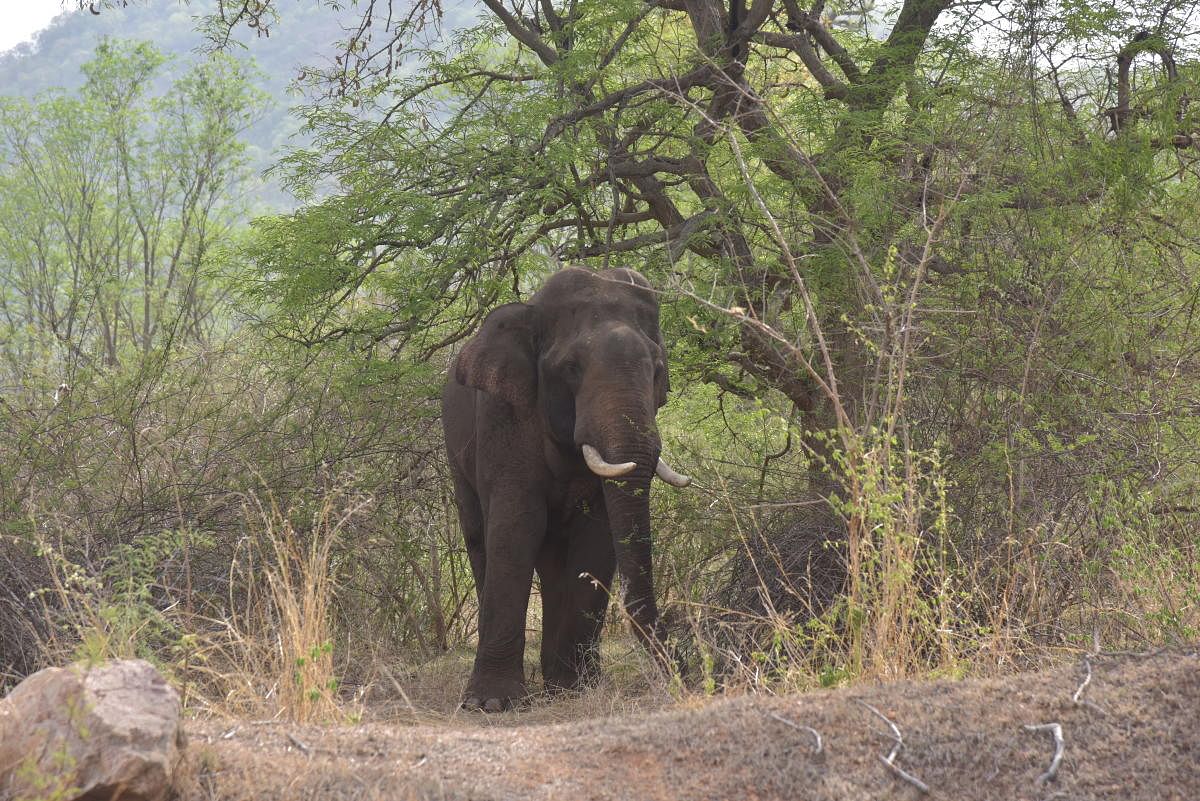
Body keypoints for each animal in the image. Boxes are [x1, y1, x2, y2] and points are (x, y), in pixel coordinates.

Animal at [441, 266, 691, 709]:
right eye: (571, 368)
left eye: (657, 370)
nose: (682, 670)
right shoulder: (504, 418)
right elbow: (515, 527)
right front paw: (491, 704)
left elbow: (596, 539)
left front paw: (574, 688)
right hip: (455, 453)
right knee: (479, 537)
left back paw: (561, 681)